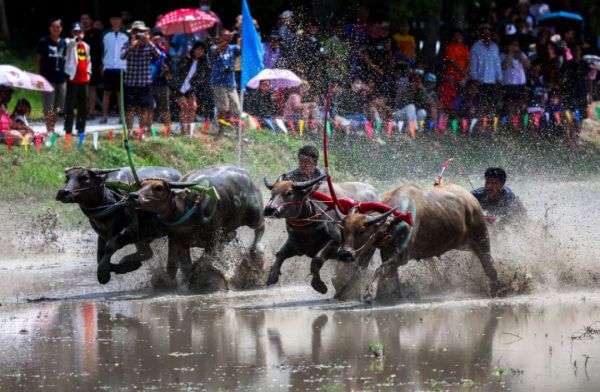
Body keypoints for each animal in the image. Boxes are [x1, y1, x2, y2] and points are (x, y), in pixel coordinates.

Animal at [127, 163, 264, 284]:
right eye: (142, 185)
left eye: (158, 188)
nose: (133, 196)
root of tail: (248, 177)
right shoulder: (178, 240)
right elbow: (182, 265)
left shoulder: (212, 238)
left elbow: (205, 259)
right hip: (228, 228)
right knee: (233, 235)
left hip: (254, 216)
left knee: (260, 227)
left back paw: (255, 251)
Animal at [338, 182, 502, 302]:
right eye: (343, 229)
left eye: (362, 231)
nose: (344, 253)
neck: (396, 219)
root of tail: (472, 201)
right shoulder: (386, 252)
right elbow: (386, 273)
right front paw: (394, 296)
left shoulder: (402, 255)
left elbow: (380, 269)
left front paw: (368, 293)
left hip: (481, 238)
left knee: (489, 264)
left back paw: (497, 289)